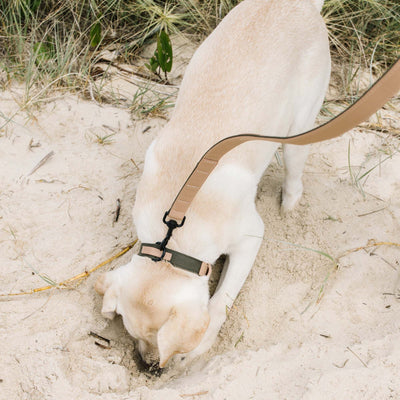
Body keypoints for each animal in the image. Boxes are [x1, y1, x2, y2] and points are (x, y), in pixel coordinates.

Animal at [94, 0, 332, 368]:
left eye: (165, 346)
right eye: (134, 335)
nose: (148, 367)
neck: (172, 239)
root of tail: (300, 5)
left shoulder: (251, 237)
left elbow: (221, 301)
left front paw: (203, 344)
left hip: (300, 127)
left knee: (294, 174)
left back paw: (289, 208)